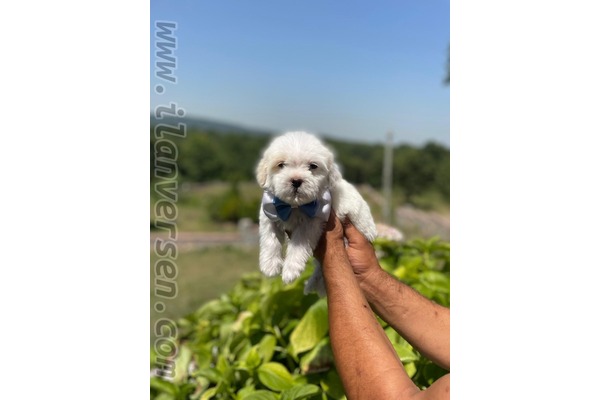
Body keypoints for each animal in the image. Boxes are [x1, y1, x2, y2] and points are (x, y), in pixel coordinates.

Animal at [256, 131, 378, 294]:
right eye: (281, 165)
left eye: (312, 166)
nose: (296, 180)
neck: (295, 206)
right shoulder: (269, 212)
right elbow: (270, 238)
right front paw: (269, 266)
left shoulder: (313, 221)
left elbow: (299, 243)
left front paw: (290, 270)